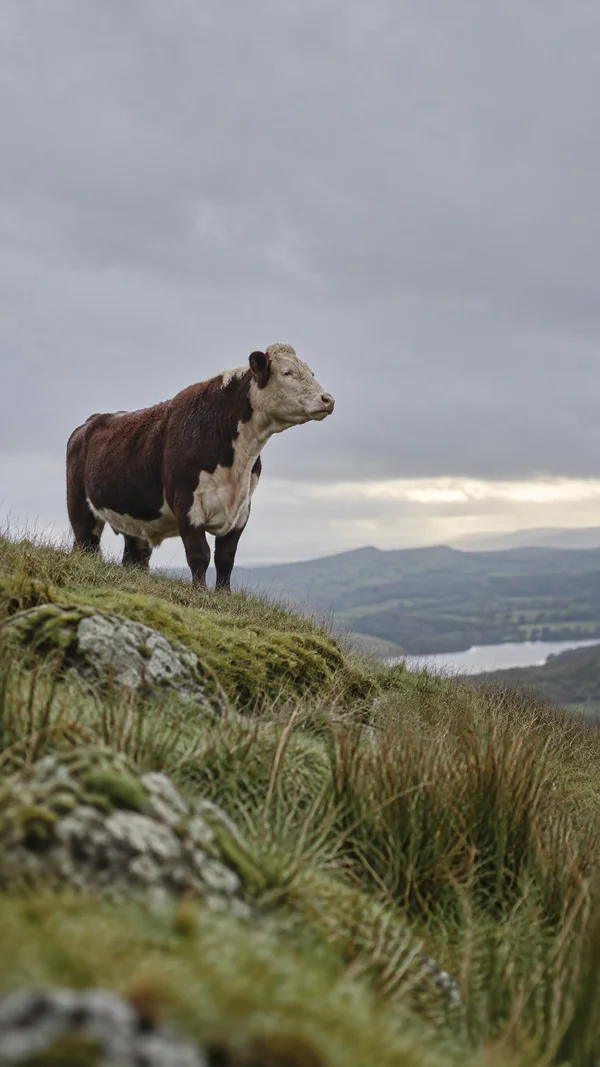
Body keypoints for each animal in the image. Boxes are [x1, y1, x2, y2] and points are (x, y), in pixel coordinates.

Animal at [66, 343, 335, 590]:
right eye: (287, 372)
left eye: (311, 372)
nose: (328, 399)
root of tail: (90, 422)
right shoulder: (186, 501)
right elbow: (199, 554)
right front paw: (200, 593)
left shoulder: (242, 507)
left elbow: (226, 557)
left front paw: (224, 595)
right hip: (80, 508)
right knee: (86, 545)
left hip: (135, 518)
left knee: (135, 558)